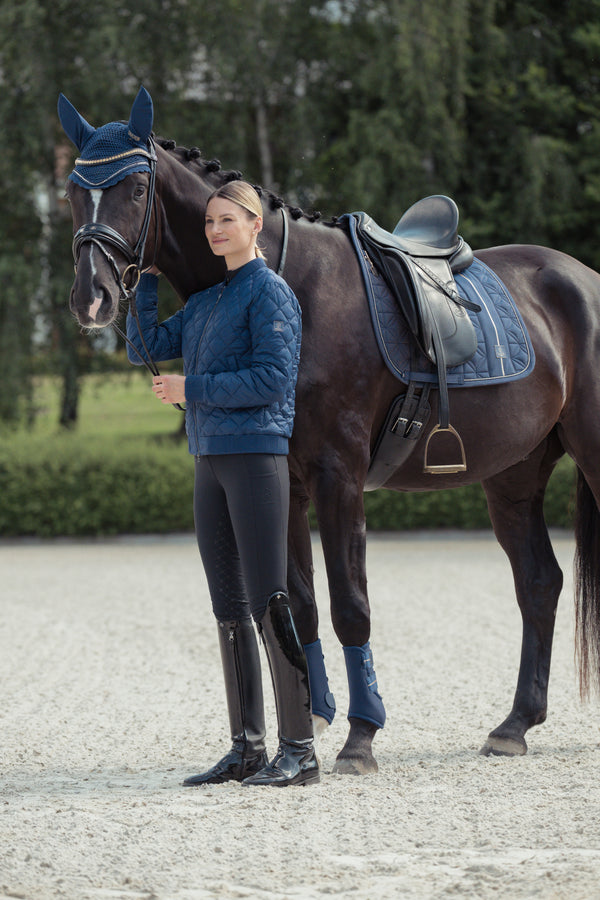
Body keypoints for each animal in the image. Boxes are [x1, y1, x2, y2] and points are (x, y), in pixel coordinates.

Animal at [58, 86, 600, 772]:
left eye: (133, 188)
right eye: (72, 191)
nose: (91, 298)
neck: (295, 288)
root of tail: (582, 278)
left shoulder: (338, 476)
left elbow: (350, 606)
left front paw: (360, 737)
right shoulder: (284, 483)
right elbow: (301, 607)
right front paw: (311, 722)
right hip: (514, 474)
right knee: (538, 583)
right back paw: (515, 724)